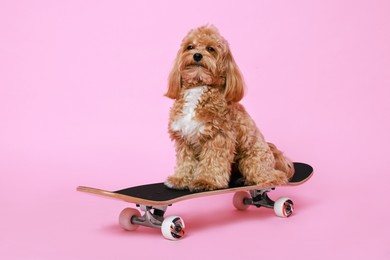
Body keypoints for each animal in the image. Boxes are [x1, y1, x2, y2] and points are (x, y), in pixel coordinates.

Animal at [163, 24, 294, 191]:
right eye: (190, 47)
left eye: (211, 49)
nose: (197, 55)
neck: (199, 86)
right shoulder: (184, 139)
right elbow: (186, 162)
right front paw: (180, 179)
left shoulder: (218, 137)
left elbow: (212, 162)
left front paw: (206, 181)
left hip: (253, 161)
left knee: (275, 176)